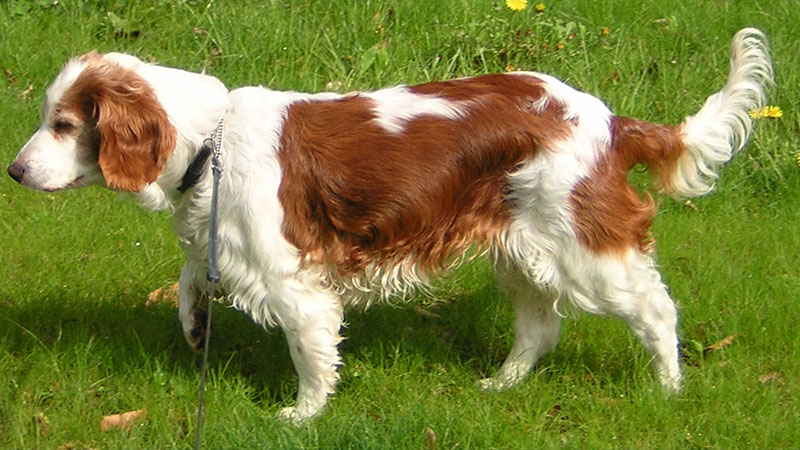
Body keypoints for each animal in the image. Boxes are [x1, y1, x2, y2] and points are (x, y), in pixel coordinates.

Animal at [4, 29, 768, 424]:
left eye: (63, 124)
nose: (13, 170)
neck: (209, 140)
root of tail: (610, 119)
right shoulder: (223, 242)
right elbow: (191, 278)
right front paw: (194, 325)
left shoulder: (294, 284)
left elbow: (311, 358)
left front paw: (300, 418)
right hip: (521, 249)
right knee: (540, 328)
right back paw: (501, 386)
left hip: (584, 249)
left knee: (656, 311)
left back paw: (668, 390)